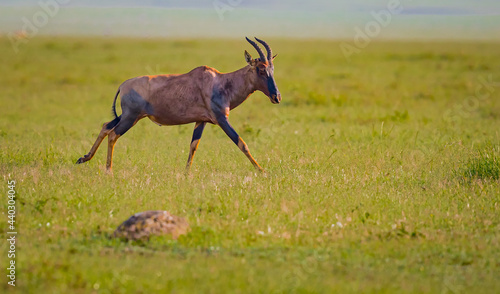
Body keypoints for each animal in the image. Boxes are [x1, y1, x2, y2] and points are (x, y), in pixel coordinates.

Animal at [77, 38, 282, 173]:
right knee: (113, 134)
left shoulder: (201, 121)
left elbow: (193, 146)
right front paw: (262, 170)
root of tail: (122, 85)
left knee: (106, 126)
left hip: (129, 116)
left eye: (272, 69)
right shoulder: (221, 119)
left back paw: (83, 158)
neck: (220, 82)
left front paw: (186, 174)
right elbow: (241, 142)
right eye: (260, 69)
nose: (277, 97)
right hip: (130, 117)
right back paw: (108, 170)